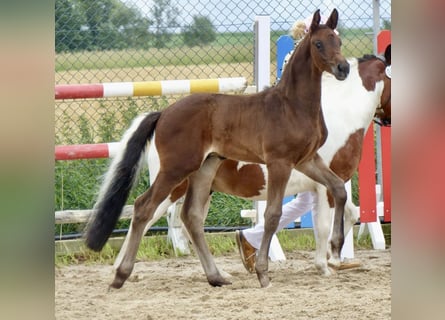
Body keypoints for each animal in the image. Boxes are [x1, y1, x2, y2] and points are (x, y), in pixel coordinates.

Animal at [85, 9, 348, 290]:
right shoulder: (280, 163)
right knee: (144, 207)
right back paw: (121, 275)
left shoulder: (307, 159)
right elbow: (272, 214)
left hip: (205, 169)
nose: (344, 68)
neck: (292, 105)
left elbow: (339, 189)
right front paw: (263, 273)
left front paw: (336, 249)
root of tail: (164, 113)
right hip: (177, 169)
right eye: (318, 44)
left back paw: (216, 276)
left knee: (191, 217)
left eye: (339, 41)